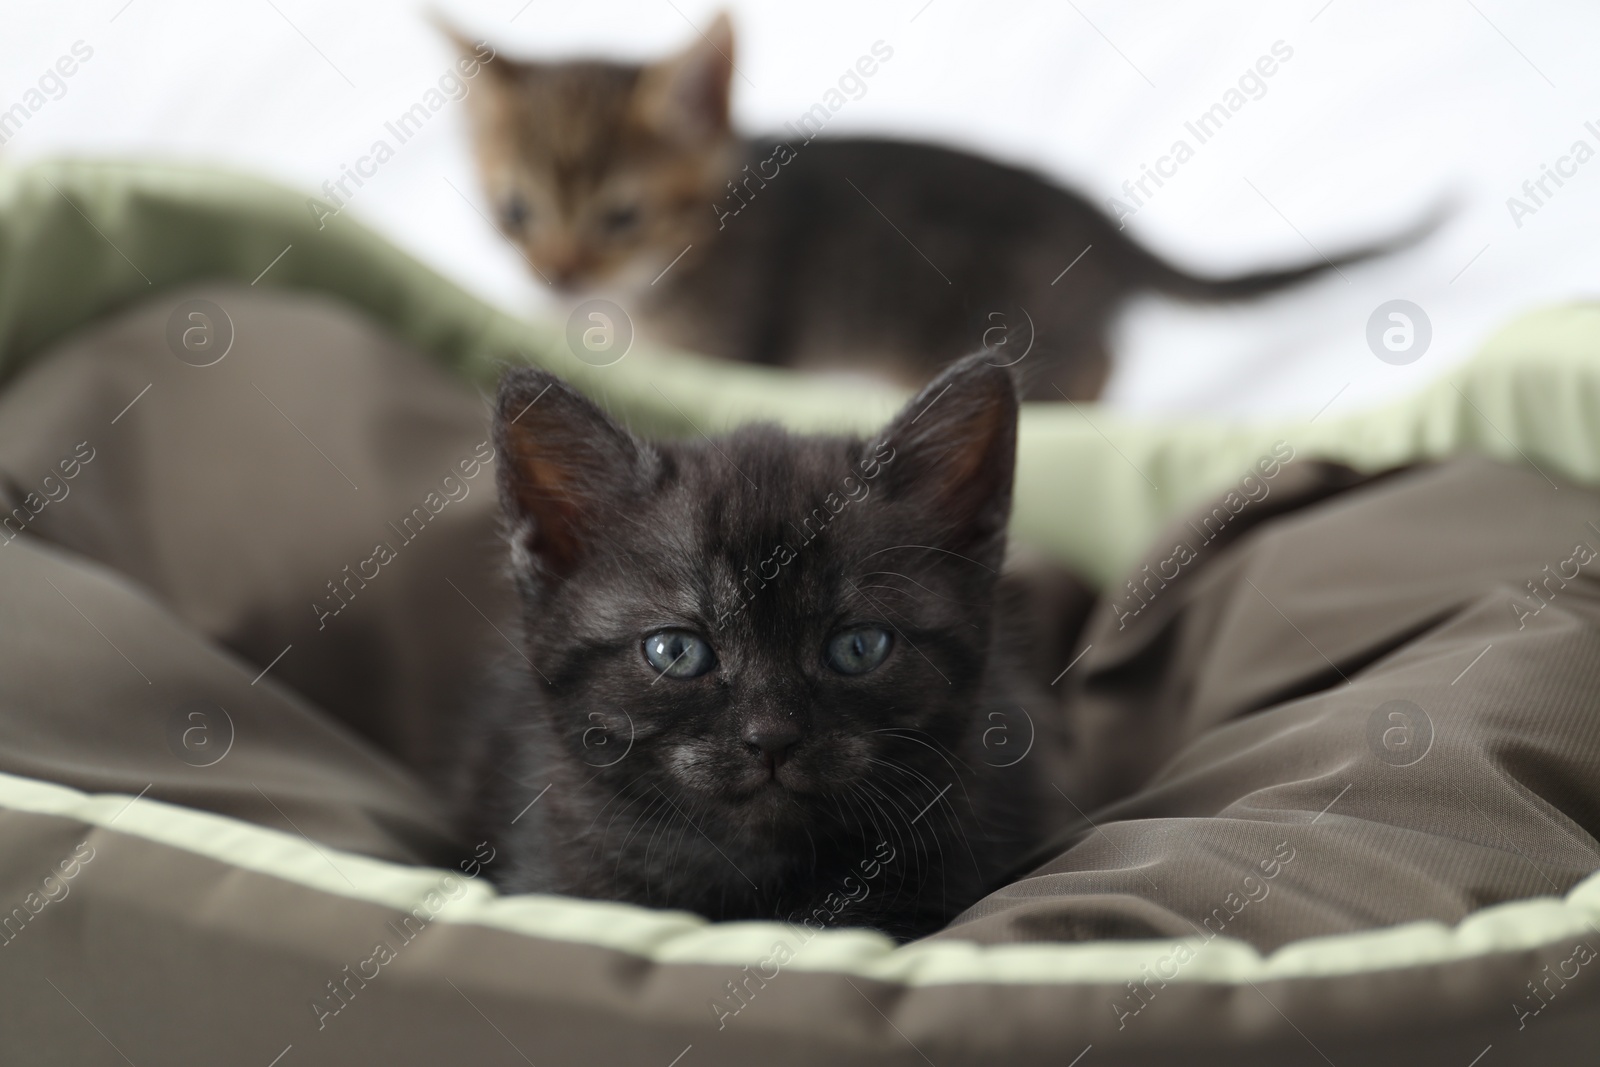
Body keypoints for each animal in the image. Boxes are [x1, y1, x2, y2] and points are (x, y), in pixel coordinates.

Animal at [444, 15, 1420, 399]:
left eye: (622, 218)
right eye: (514, 213)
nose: (557, 276)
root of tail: (1100, 223)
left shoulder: (742, 352)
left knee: (1095, 359)